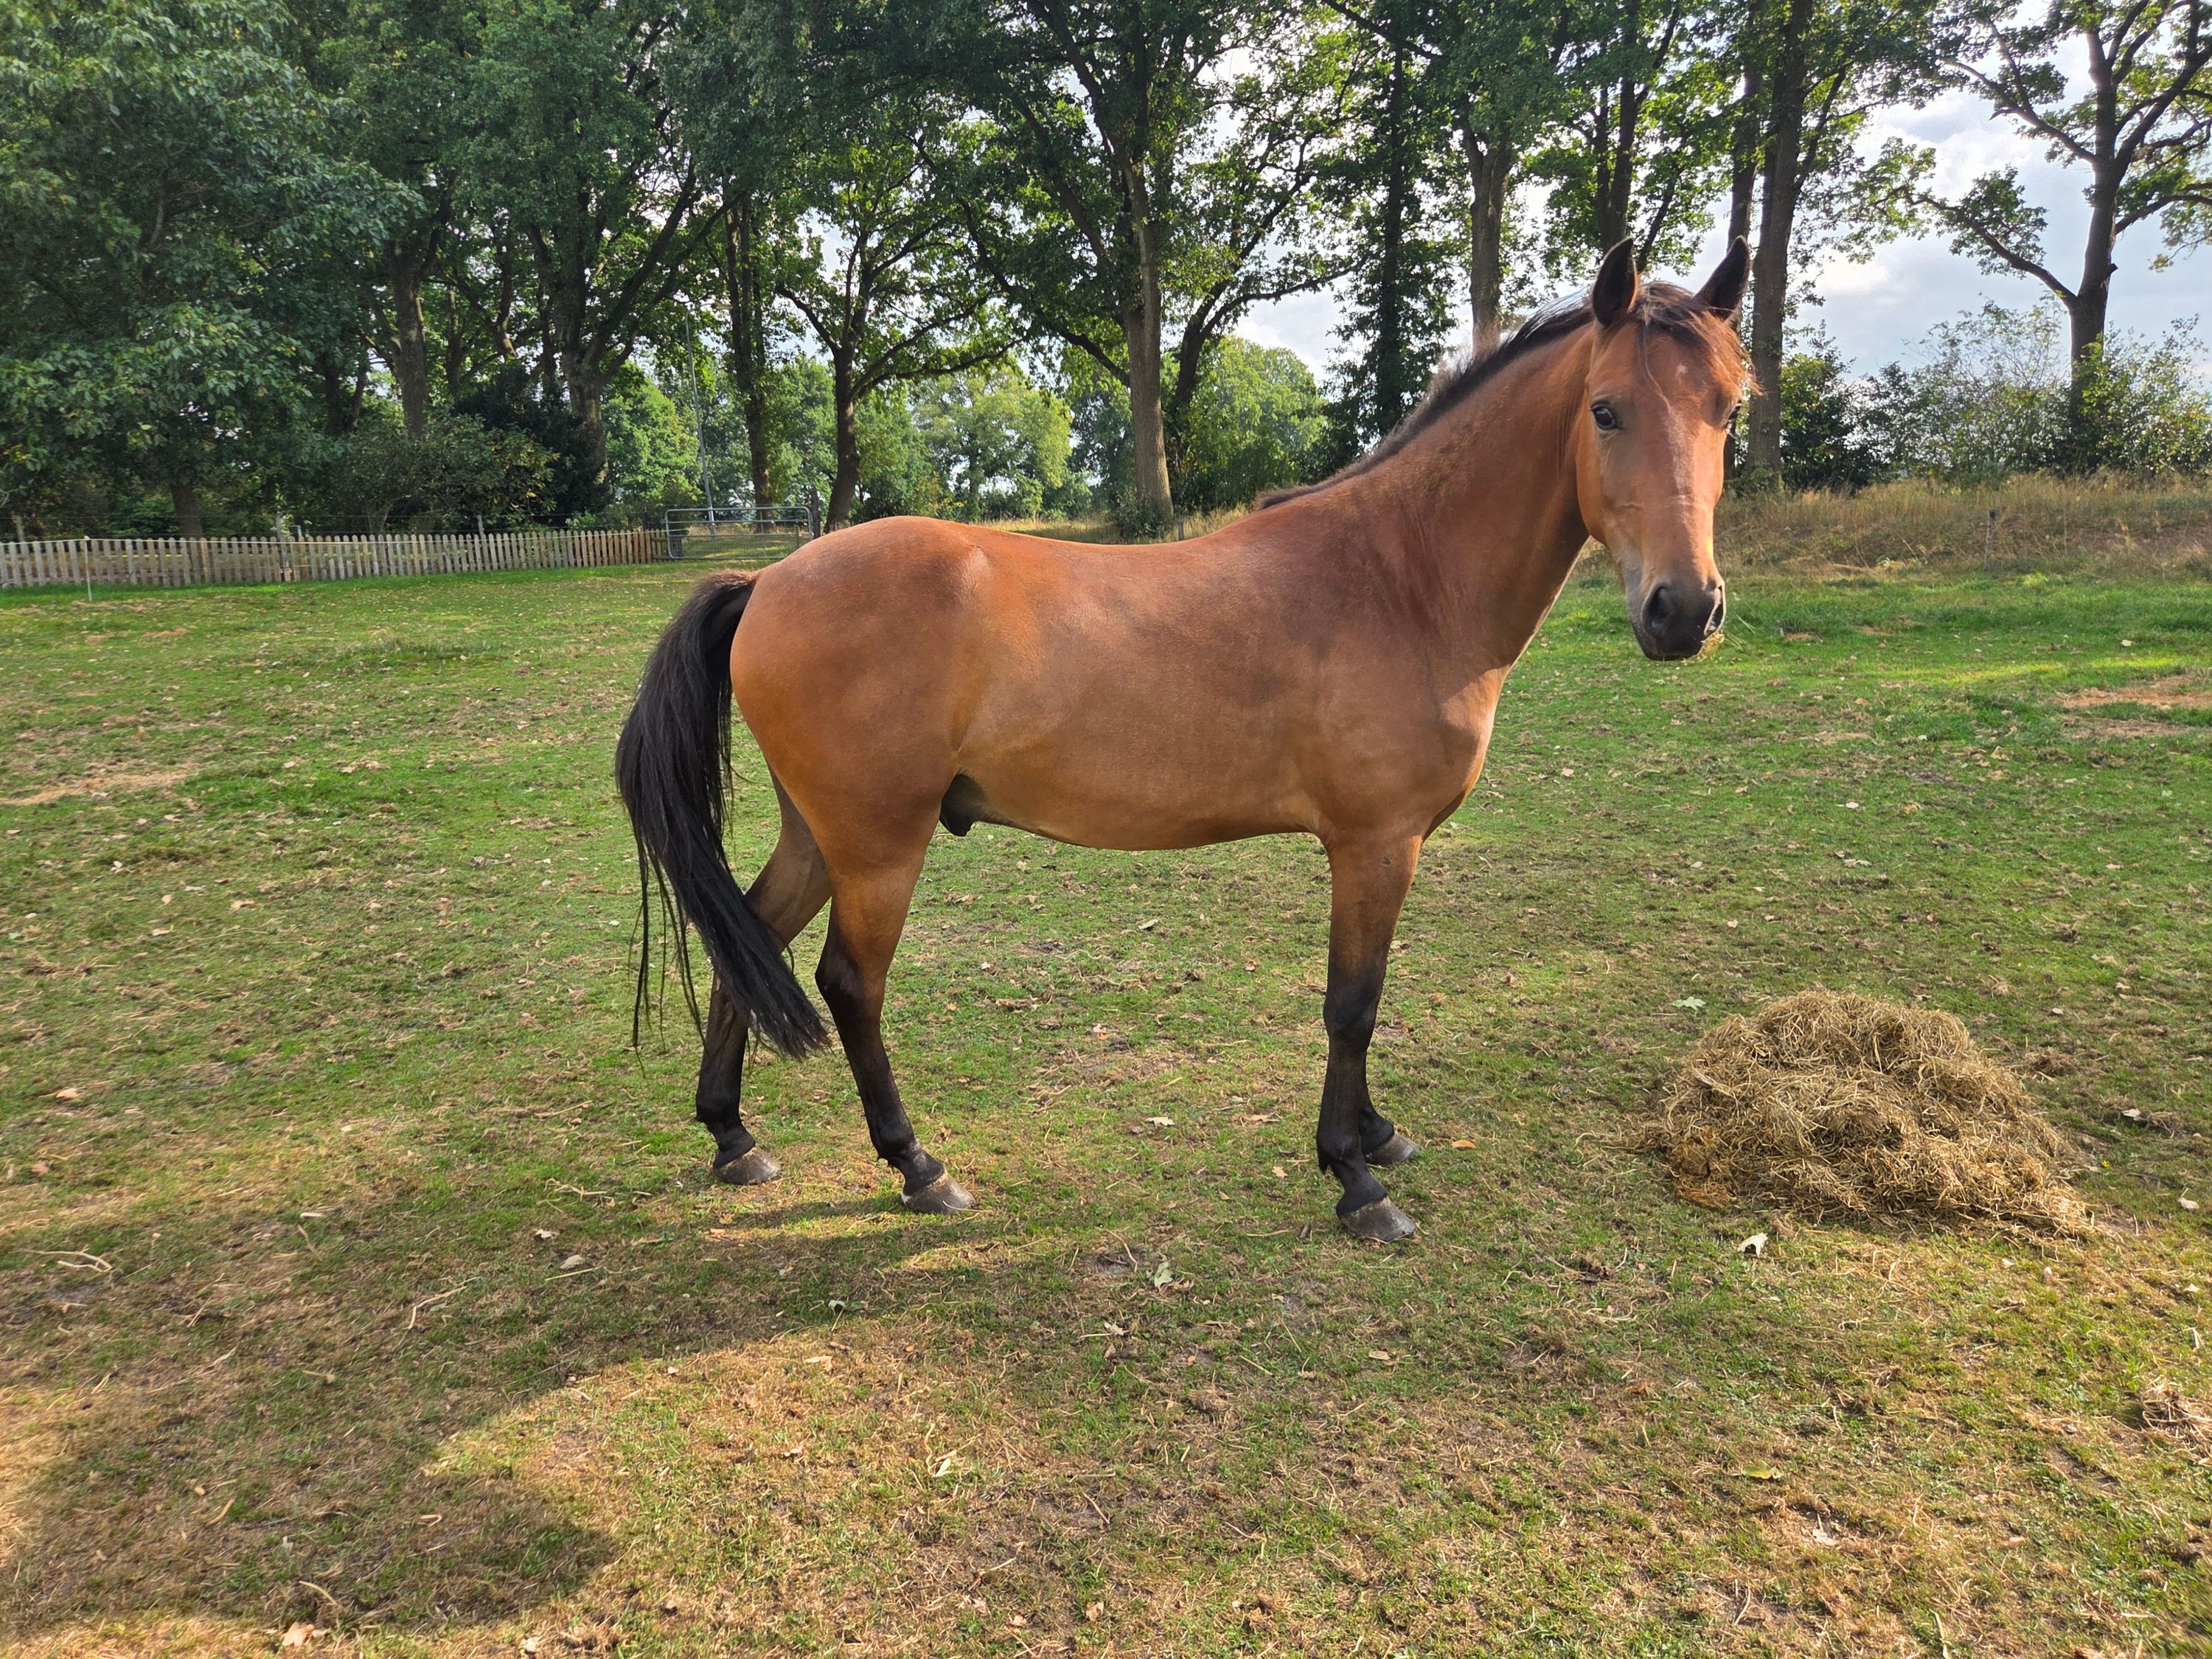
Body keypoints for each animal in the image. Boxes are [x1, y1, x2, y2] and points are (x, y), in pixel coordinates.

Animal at [616, 238, 1750, 1241]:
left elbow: (1366, 998)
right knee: (851, 986)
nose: (1683, 610)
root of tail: (768, 581)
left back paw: (733, 1137)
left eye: (1730, 409)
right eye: (1605, 409)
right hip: (877, 847)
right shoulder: (1373, 844)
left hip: (820, 836)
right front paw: (1354, 1177)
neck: (1401, 577)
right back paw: (918, 1165)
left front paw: (1376, 1134)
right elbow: (1353, 1002)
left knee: (747, 939)